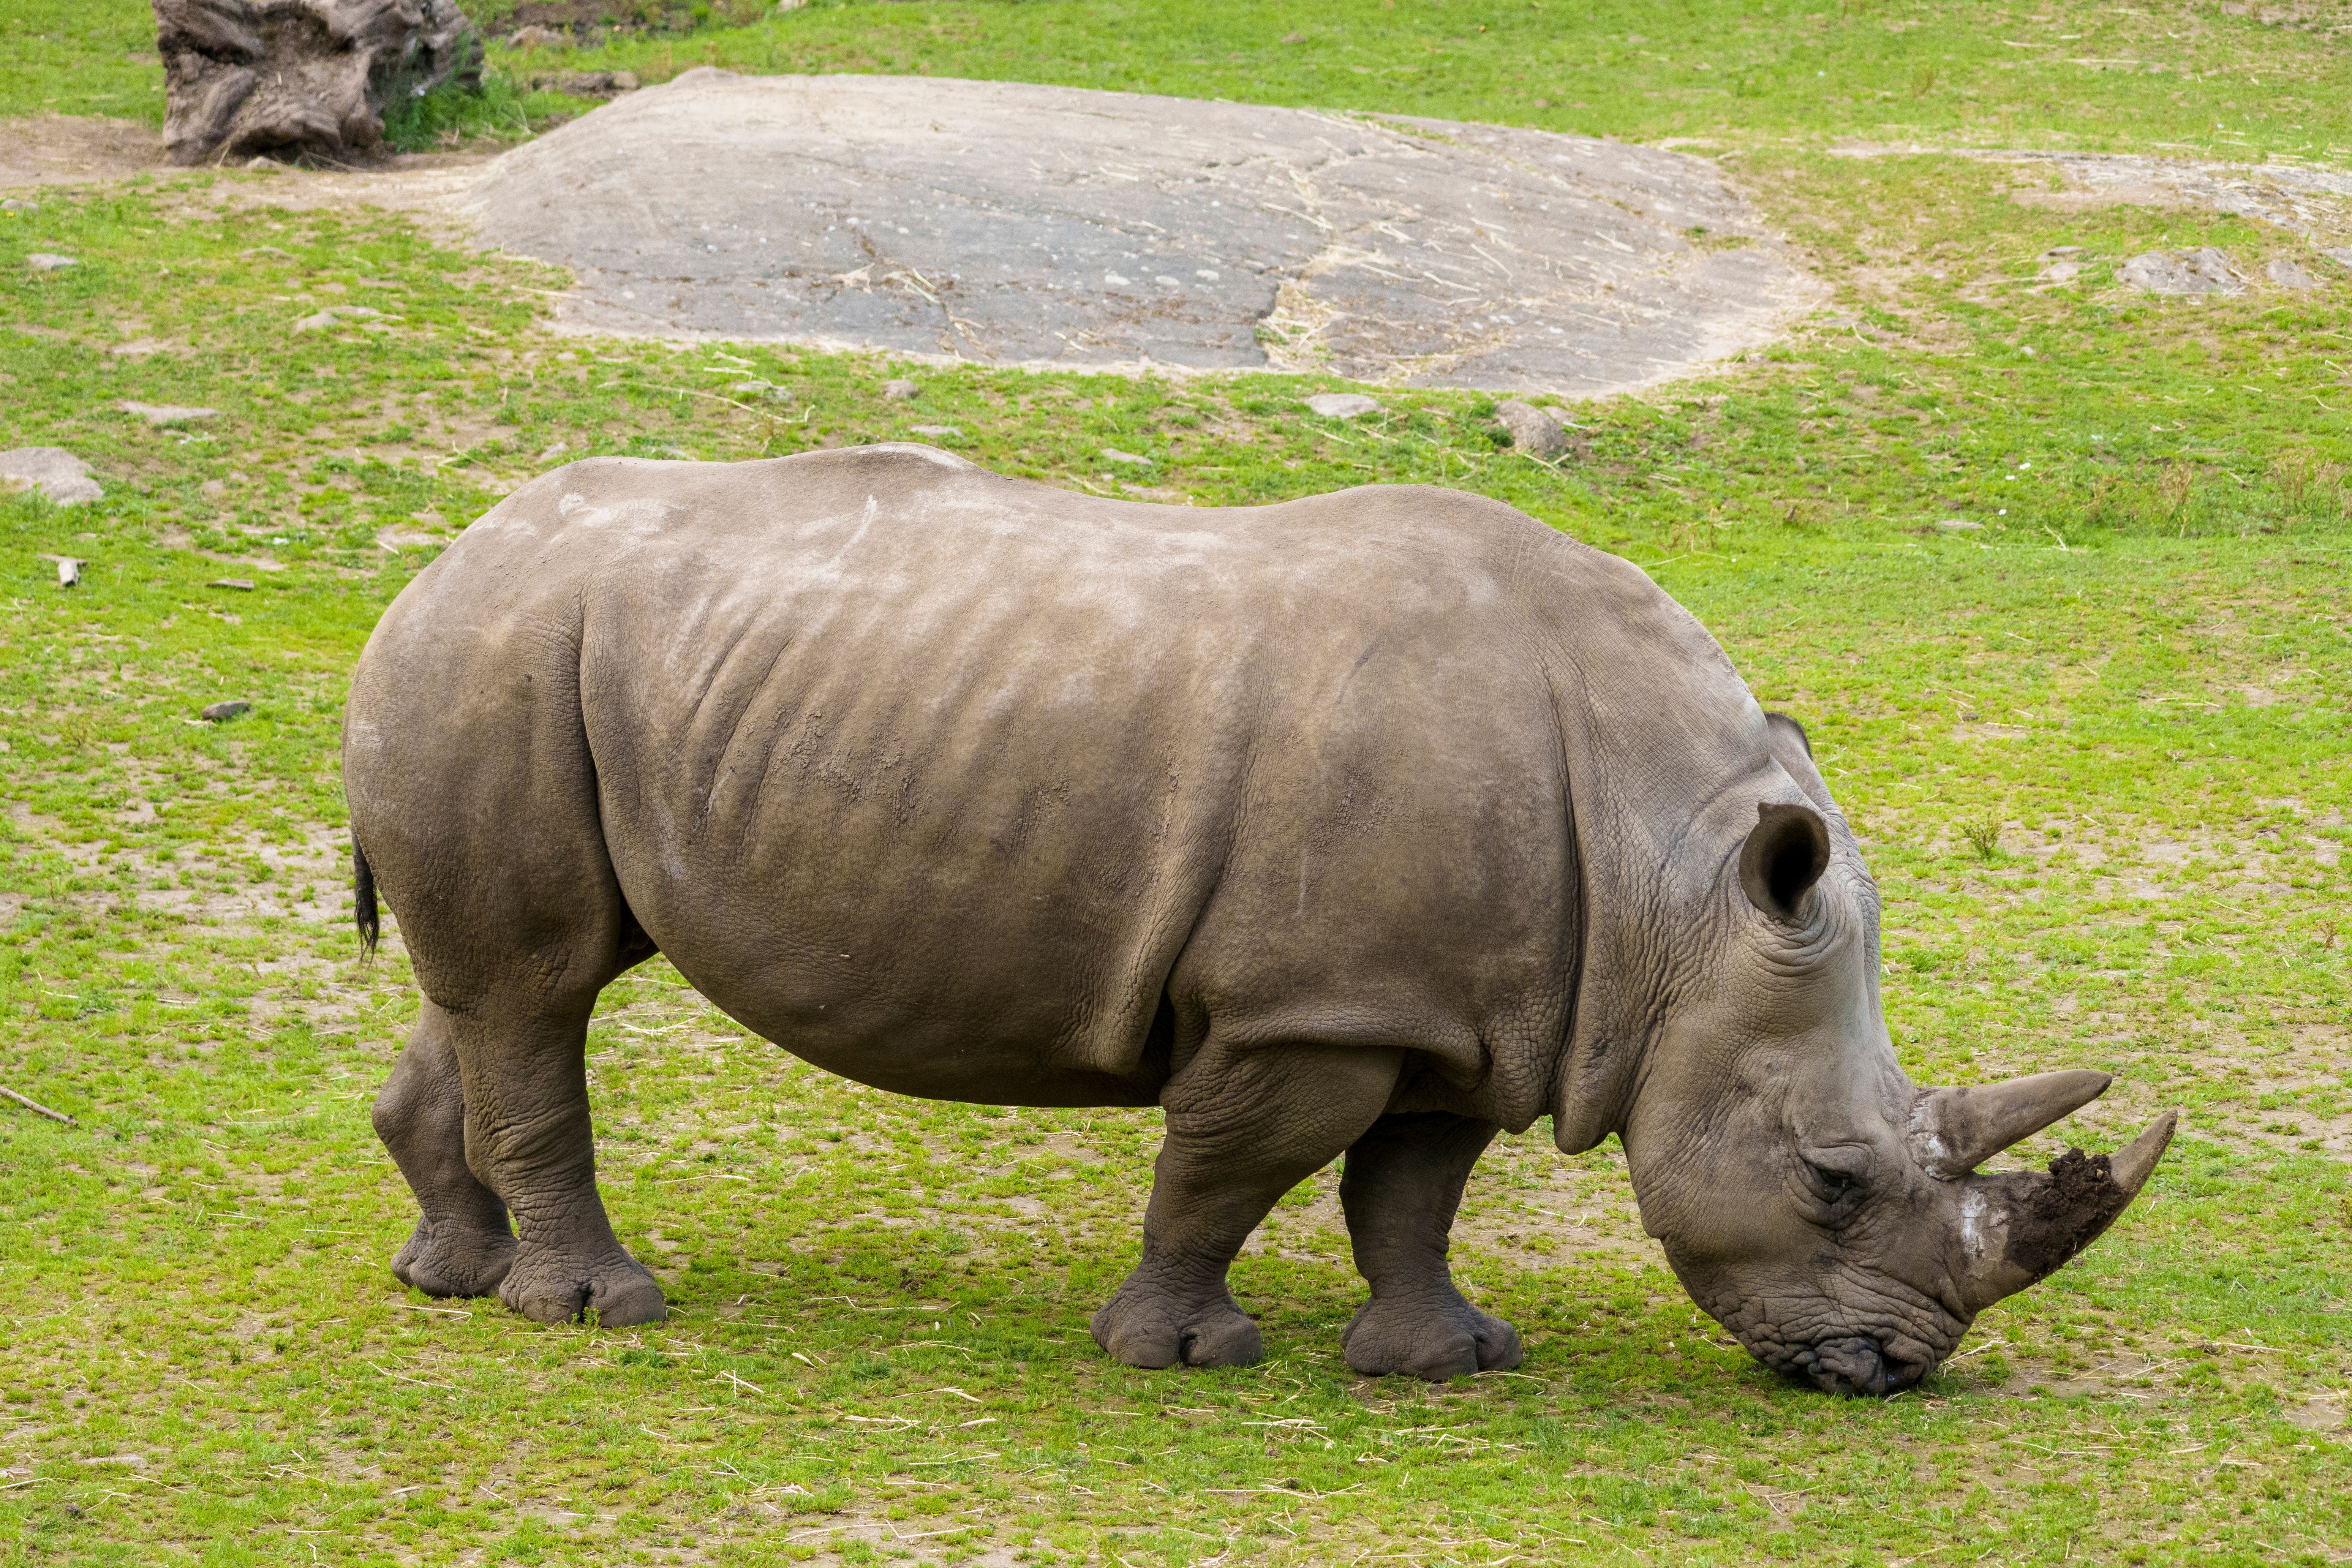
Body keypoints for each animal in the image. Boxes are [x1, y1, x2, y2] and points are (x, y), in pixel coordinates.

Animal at [343, 444, 2174, 1395]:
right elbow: (1229, 1169)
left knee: (495, 985)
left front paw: (1444, 1359)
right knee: (539, 988)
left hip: (529, 660)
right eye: (1831, 1177)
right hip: (505, 649)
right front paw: (1180, 1352)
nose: (1891, 1368)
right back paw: (601, 1312)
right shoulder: (1315, 1003)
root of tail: (434, 556)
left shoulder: (1466, 1009)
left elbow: (1410, 1191)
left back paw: (449, 1279)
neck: (1677, 889)